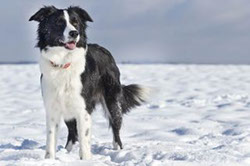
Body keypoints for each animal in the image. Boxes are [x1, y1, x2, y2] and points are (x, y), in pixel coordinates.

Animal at [28, 6, 148, 160]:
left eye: (76, 22)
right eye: (59, 22)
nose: (74, 33)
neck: (63, 63)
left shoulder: (83, 108)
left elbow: (84, 139)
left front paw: (85, 159)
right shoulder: (53, 108)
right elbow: (51, 139)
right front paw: (50, 160)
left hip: (112, 102)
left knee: (116, 130)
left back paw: (118, 150)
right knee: (72, 133)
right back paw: (67, 152)